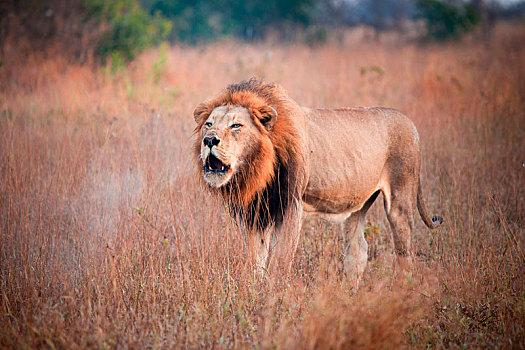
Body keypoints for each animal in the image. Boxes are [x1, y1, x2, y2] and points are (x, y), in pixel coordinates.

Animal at [191, 78, 438, 286]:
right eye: (208, 124)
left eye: (236, 126)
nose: (209, 140)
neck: (258, 170)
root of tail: (410, 122)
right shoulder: (254, 212)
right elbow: (254, 258)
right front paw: (253, 289)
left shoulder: (291, 205)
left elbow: (280, 258)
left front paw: (273, 293)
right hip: (358, 205)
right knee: (358, 251)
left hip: (400, 198)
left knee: (404, 253)